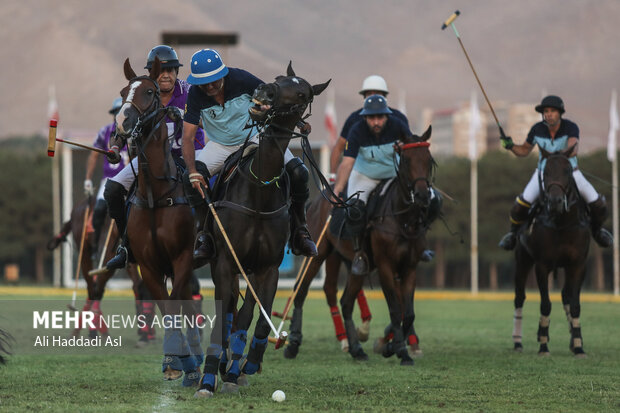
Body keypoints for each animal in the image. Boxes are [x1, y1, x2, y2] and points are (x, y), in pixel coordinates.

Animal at [115, 57, 202, 384]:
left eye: (150, 92)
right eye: (123, 91)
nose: (121, 123)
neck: (156, 194)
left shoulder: (182, 257)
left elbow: (175, 304)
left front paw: (184, 362)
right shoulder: (149, 266)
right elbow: (167, 308)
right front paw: (175, 361)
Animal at [195, 62, 330, 396]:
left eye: (302, 93)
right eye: (280, 78)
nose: (264, 91)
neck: (258, 188)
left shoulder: (267, 268)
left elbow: (251, 319)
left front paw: (244, 367)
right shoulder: (227, 262)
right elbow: (226, 317)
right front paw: (209, 378)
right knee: (229, 309)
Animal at [286, 124, 436, 364]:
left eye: (428, 159)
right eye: (405, 160)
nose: (422, 195)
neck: (402, 220)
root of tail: (317, 201)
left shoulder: (410, 267)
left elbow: (409, 313)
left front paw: (390, 346)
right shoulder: (385, 266)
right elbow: (395, 309)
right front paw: (400, 351)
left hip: (357, 265)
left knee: (346, 302)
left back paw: (357, 349)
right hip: (318, 254)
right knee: (300, 292)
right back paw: (292, 343)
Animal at [512, 146, 588, 358]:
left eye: (568, 171)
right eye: (545, 172)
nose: (555, 201)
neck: (561, 222)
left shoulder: (578, 264)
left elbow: (575, 304)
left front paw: (578, 346)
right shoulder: (542, 265)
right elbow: (545, 304)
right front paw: (544, 345)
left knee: (566, 295)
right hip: (522, 260)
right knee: (519, 297)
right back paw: (518, 342)